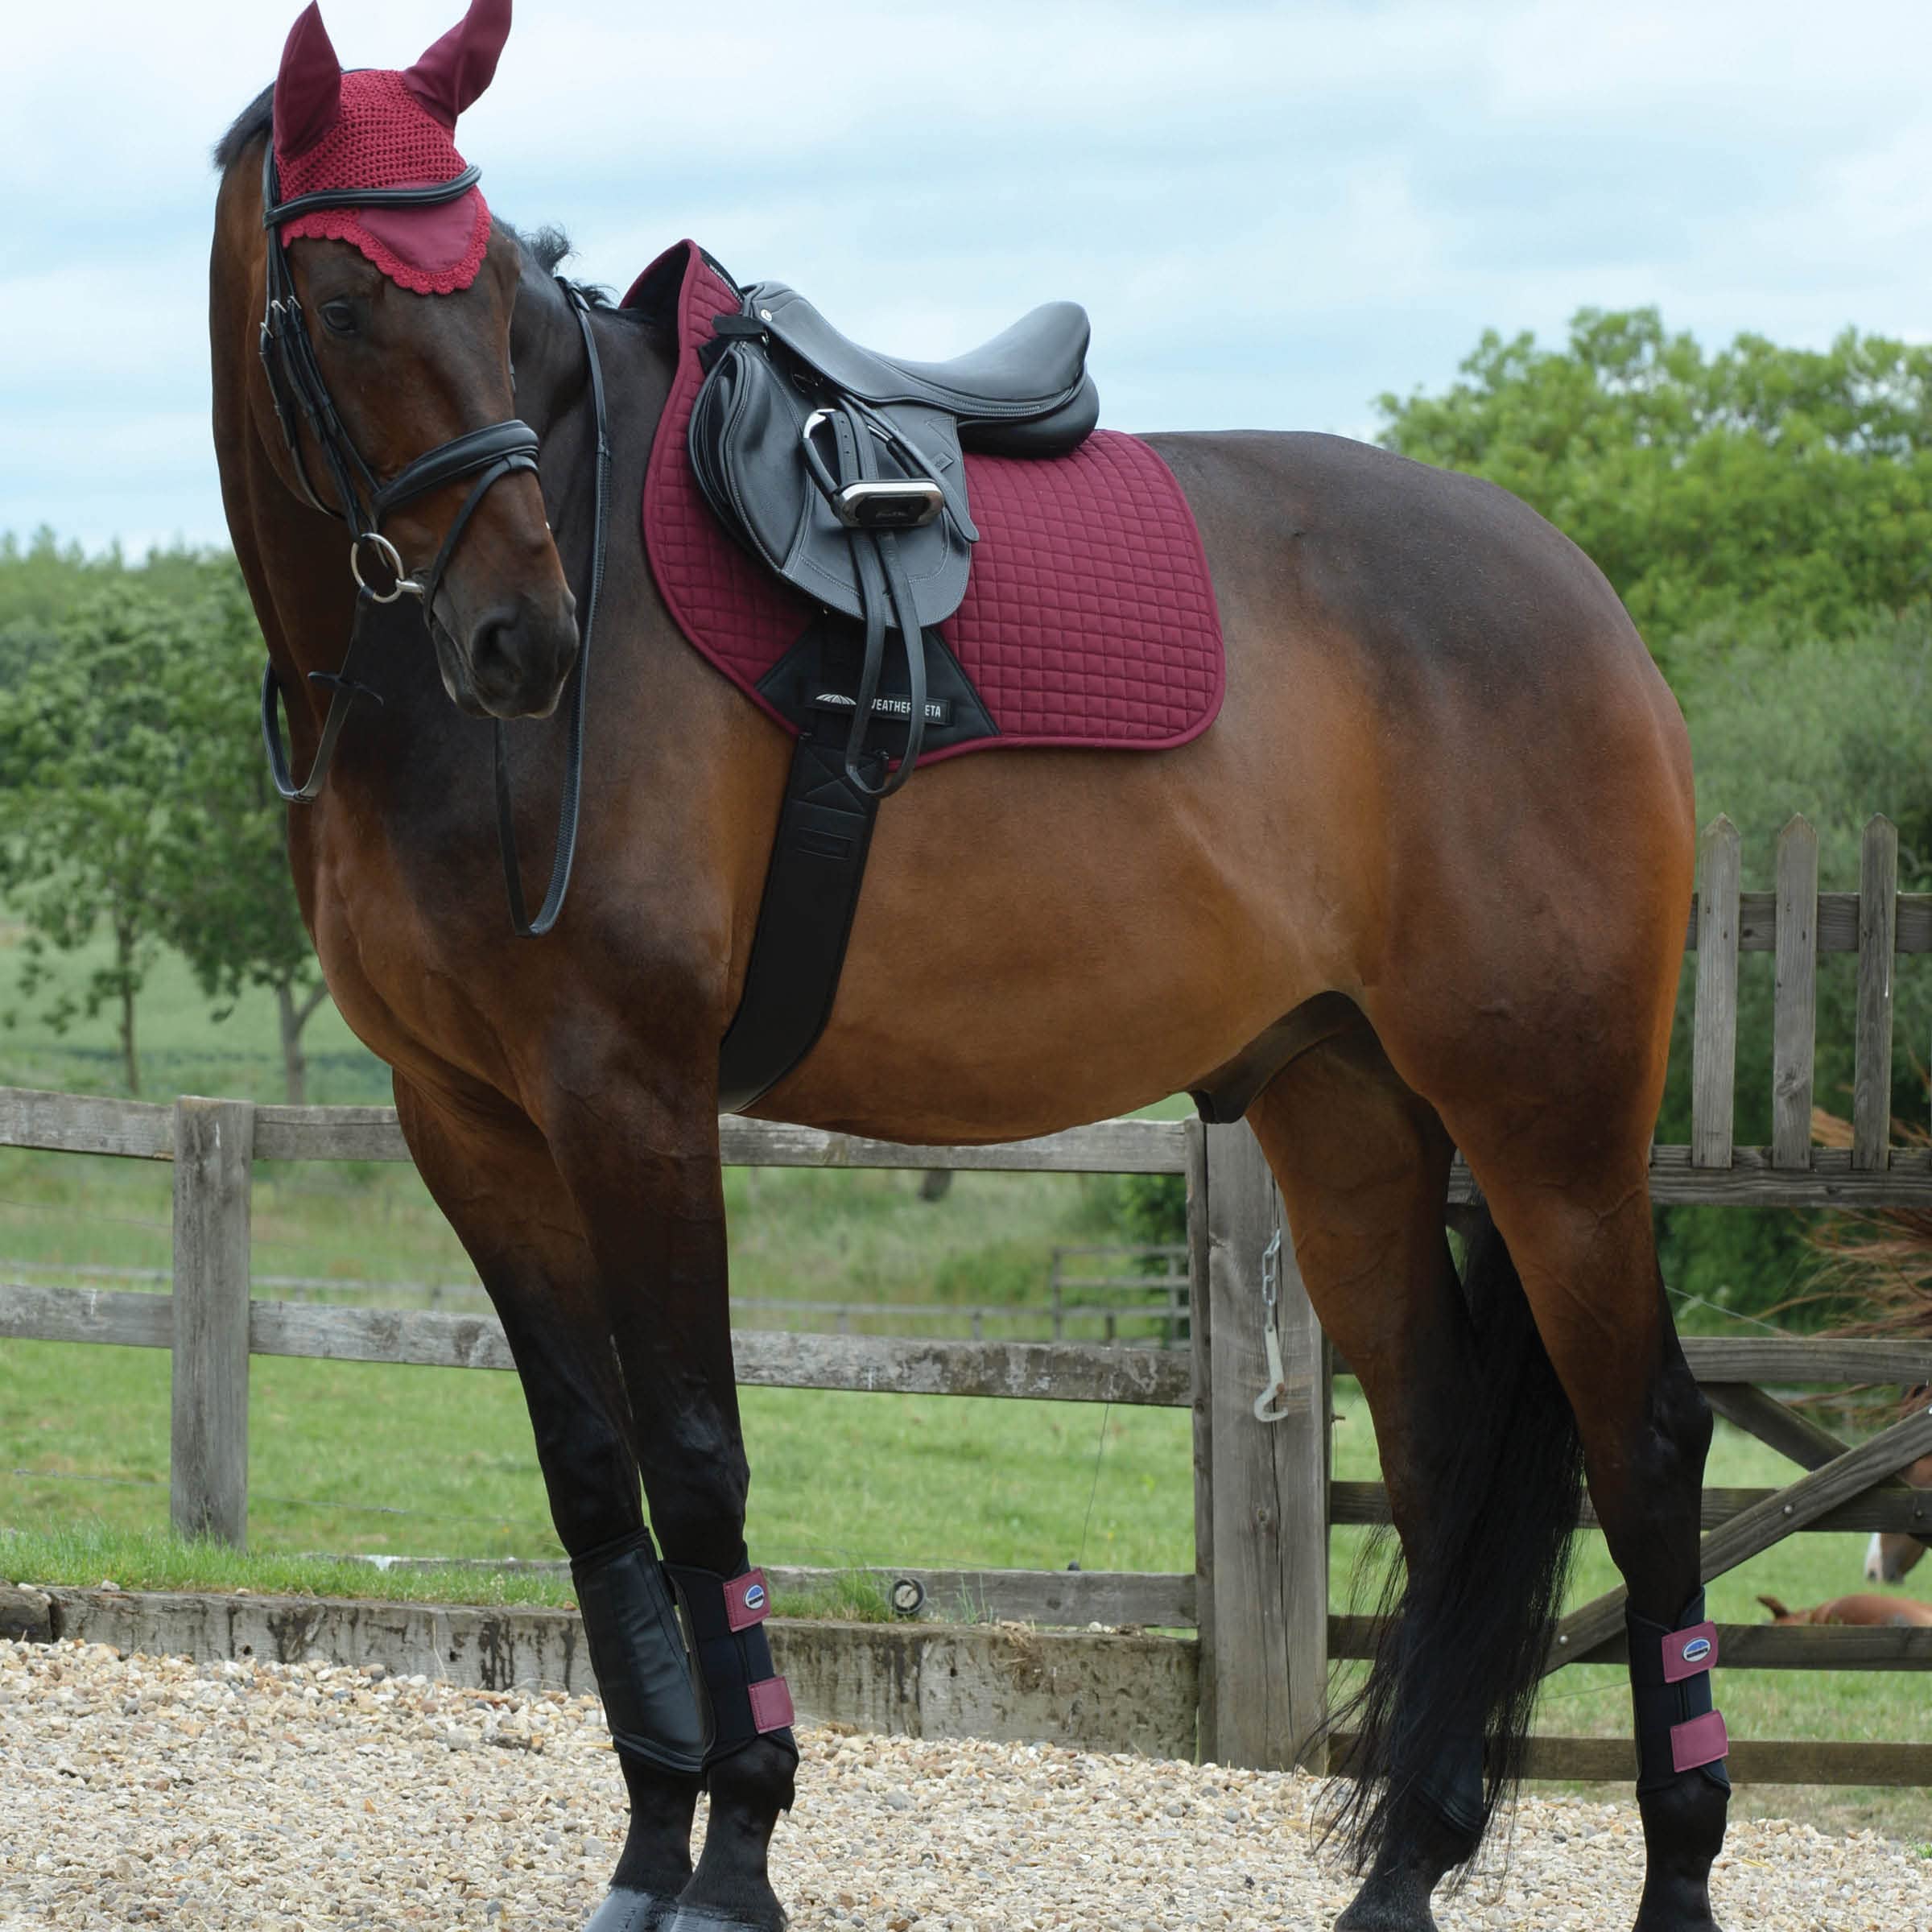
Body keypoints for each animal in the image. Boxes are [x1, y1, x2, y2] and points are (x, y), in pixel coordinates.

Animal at [208, 6, 1723, 1929]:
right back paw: (1406, 1870)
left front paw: (740, 1847)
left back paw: (1674, 1873)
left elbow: (699, 1464)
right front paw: (651, 1844)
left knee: (1648, 1451)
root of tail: (1589, 607)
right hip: (1351, 1115)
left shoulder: (633, 1097)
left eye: (494, 292)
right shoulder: (466, 1123)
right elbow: (595, 1481)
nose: (522, 639)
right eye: (342, 306)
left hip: (1554, 1128)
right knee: (1452, 1464)